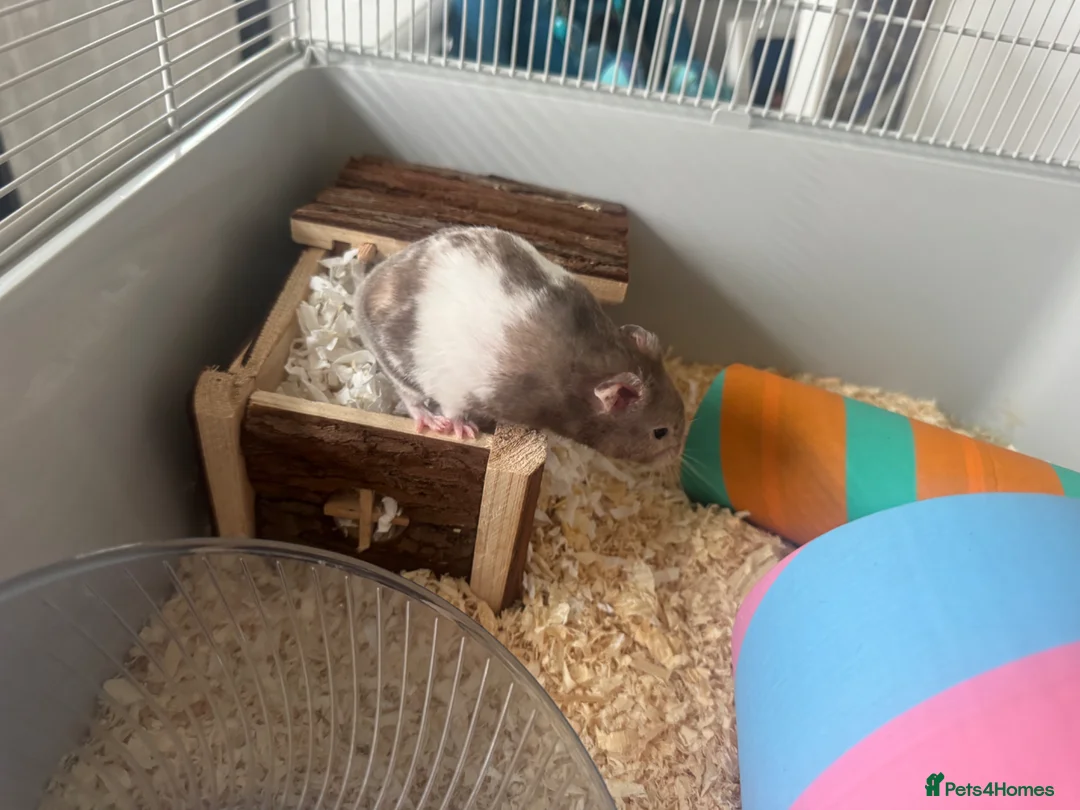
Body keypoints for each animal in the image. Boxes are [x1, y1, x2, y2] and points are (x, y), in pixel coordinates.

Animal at [353, 226, 686, 466]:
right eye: (660, 433)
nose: (677, 456)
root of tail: (365, 287)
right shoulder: (457, 391)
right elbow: (454, 409)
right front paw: (466, 432)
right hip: (397, 361)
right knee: (410, 398)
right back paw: (434, 423)